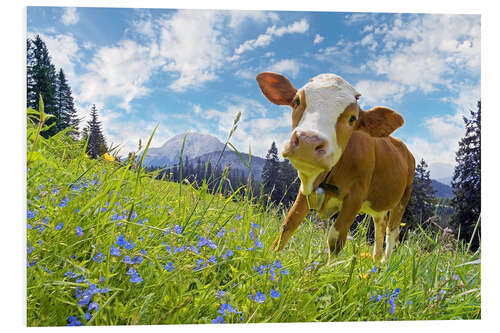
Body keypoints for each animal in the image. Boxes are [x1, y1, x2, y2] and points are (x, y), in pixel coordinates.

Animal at [256, 71, 416, 260]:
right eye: (297, 101)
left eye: (352, 118)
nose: (308, 141)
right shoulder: (306, 189)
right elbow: (288, 224)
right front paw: (270, 258)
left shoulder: (355, 197)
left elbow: (336, 240)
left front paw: (324, 268)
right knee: (380, 223)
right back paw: (375, 261)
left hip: (403, 198)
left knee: (392, 233)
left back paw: (384, 263)